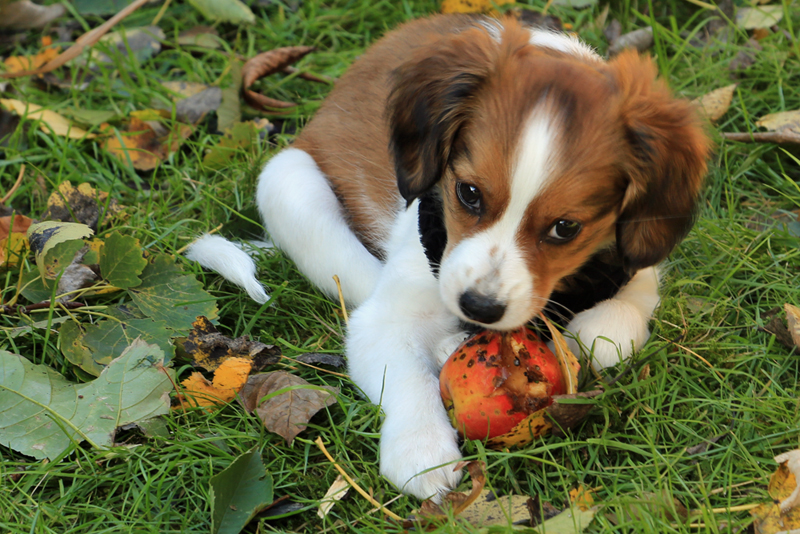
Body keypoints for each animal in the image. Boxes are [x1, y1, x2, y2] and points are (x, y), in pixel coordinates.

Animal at [188, 15, 708, 502]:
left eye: (566, 228)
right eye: (469, 193)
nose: (479, 308)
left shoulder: (636, 264)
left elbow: (614, 330)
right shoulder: (387, 317)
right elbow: (403, 372)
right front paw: (421, 451)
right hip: (289, 184)